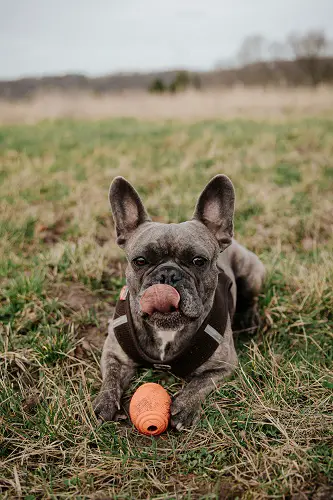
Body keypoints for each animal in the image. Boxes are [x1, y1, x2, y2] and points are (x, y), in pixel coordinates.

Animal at [93, 176, 264, 430]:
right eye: (140, 261)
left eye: (199, 261)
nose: (168, 274)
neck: (167, 329)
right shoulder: (114, 354)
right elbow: (111, 378)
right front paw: (104, 403)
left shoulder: (223, 365)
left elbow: (199, 384)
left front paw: (183, 407)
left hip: (252, 273)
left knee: (250, 298)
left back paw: (248, 319)